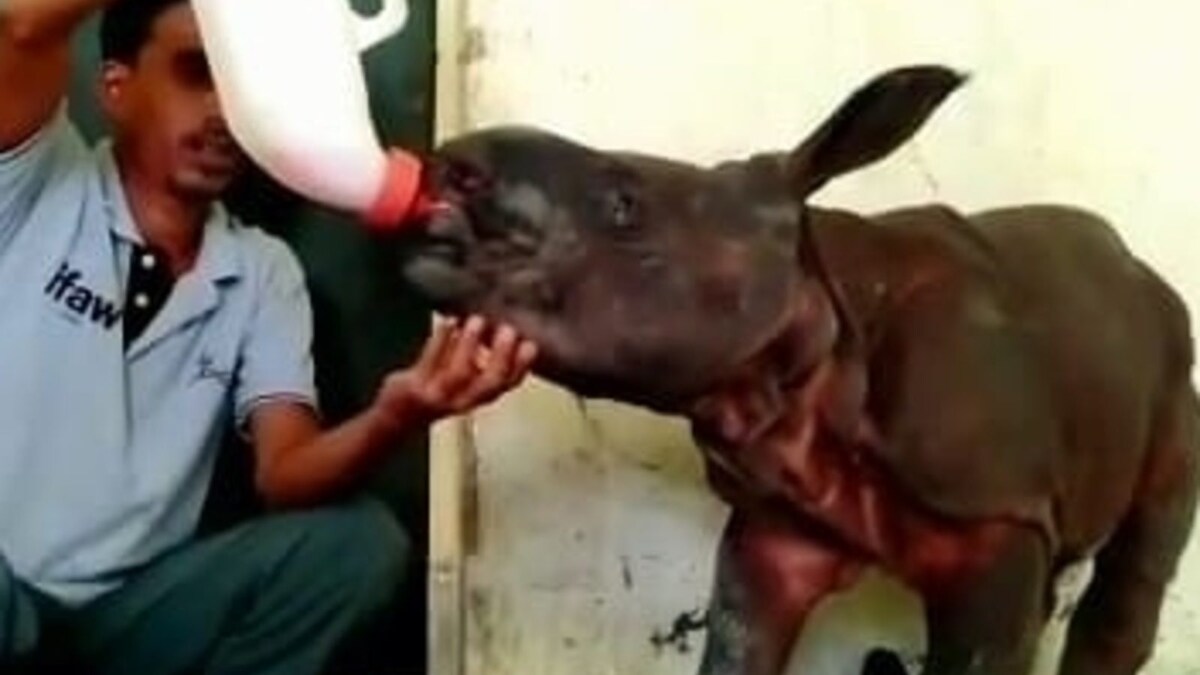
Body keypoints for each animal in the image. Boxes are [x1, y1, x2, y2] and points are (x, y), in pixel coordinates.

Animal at [391, 64, 1190, 672]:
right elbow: (740, 642)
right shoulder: (778, 526)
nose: (449, 168)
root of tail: (1135, 269)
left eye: (622, 206)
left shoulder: (995, 510)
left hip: (1177, 351)